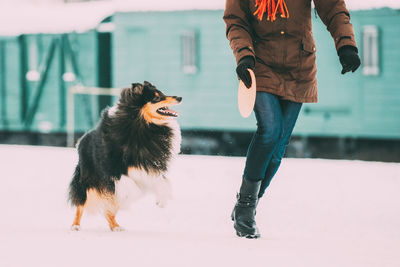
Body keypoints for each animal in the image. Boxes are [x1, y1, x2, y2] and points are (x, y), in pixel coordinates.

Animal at [68, 81, 181, 232]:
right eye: (156, 98)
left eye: (162, 93)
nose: (179, 98)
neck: (143, 126)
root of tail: (81, 141)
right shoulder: (113, 170)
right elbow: (129, 186)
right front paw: (133, 194)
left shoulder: (150, 166)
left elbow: (162, 182)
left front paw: (162, 200)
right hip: (88, 180)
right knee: (82, 204)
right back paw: (75, 225)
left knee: (109, 211)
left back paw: (116, 227)